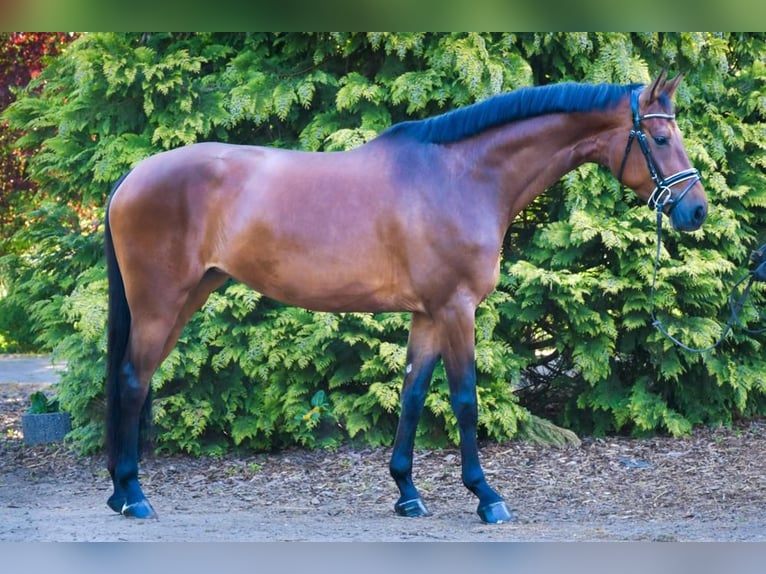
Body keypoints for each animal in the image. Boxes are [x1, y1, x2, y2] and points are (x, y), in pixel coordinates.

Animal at [104, 70, 707, 522]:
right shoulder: (457, 310)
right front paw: (486, 497)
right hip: (161, 305)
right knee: (133, 380)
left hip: (186, 298)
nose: (696, 210)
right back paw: (133, 496)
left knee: (134, 381)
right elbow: (464, 399)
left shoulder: (427, 315)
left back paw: (119, 491)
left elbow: (414, 395)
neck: (462, 175)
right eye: (659, 139)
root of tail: (130, 178)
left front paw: (407, 494)